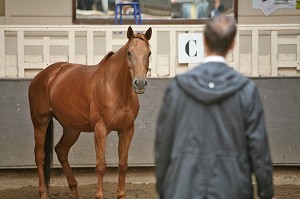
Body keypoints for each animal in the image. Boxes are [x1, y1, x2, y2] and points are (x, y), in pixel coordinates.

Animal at [28, 26, 152, 199]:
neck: (115, 88)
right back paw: (44, 192)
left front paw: (121, 194)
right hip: (40, 122)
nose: (140, 84)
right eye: (129, 52)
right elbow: (101, 165)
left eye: (149, 53)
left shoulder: (127, 130)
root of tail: (43, 75)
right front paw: (99, 195)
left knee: (61, 150)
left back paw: (73, 189)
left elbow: (123, 164)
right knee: (39, 155)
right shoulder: (100, 130)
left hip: (72, 128)